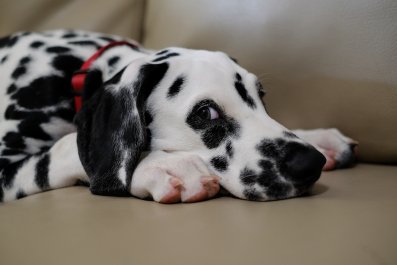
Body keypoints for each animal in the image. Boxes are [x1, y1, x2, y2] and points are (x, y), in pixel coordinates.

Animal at [0, 29, 356, 202]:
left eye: (261, 96)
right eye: (206, 112)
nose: (310, 163)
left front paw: (318, 138)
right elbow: (65, 148)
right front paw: (164, 167)